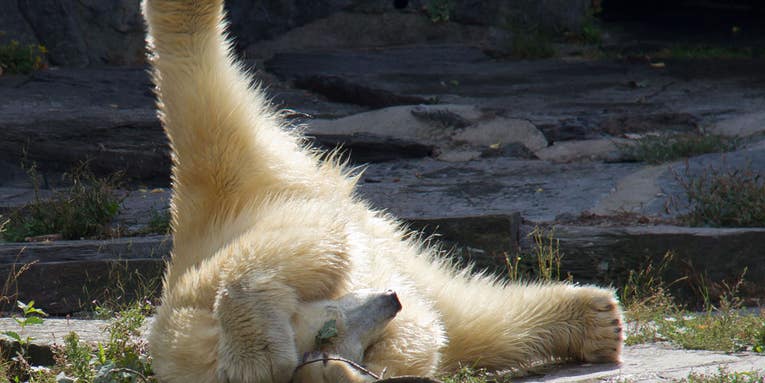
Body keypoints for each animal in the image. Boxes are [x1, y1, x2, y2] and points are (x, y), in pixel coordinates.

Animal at [140, 0, 624, 383]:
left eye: (329, 324)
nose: (390, 300)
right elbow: (416, 348)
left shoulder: (199, 295)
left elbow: (295, 249)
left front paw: (259, 351)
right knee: (475, 322)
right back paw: (598, 323)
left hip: (230, 174)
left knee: (194, 79)